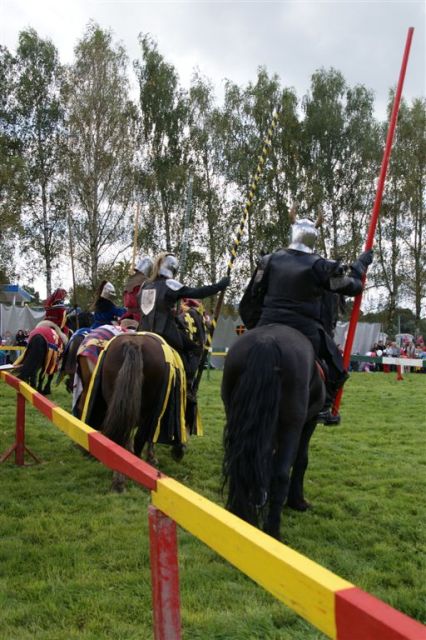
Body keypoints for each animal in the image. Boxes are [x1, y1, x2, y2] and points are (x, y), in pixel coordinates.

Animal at [221, 324, 324, 540]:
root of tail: (266, 341)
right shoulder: (308, 423)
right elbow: (301, 460)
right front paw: (298, 502)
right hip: (291, 425)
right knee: (281, 474)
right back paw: (273, 533)